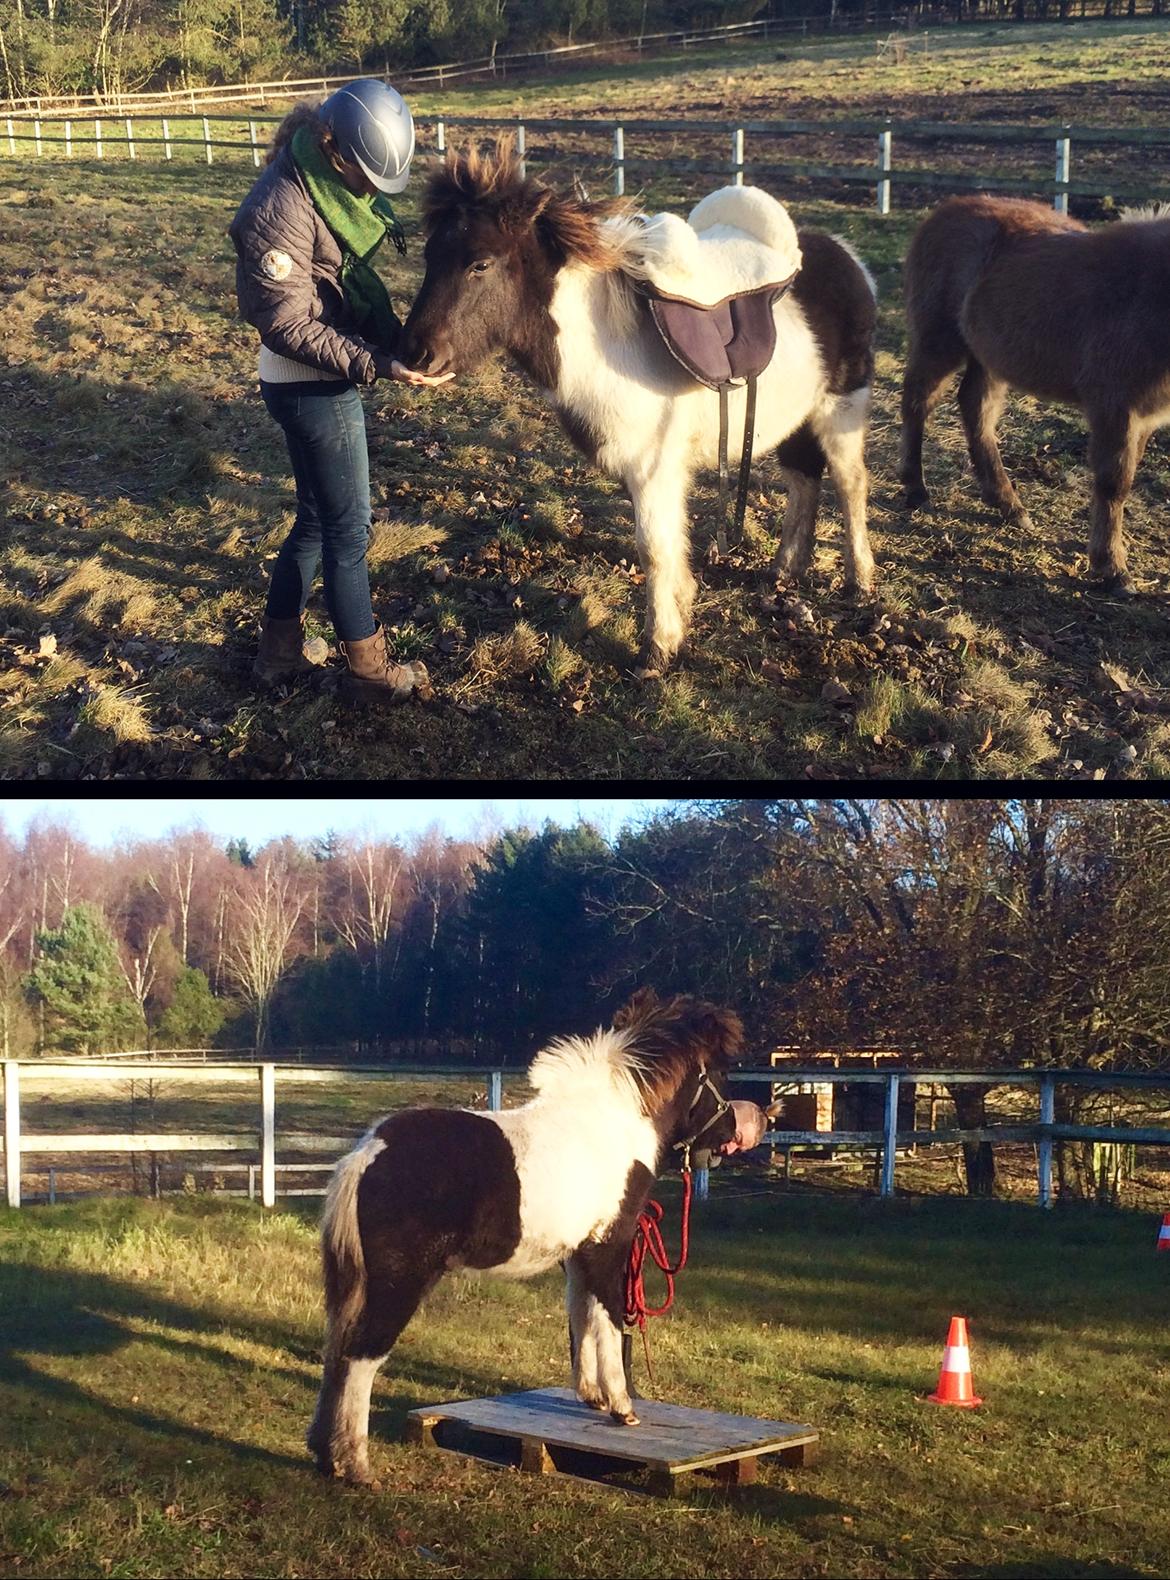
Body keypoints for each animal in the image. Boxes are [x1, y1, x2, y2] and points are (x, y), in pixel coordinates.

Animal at [306, 992, 757, 1485]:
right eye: (718, 1076)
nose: (734, 1133)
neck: (612, 1126)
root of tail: (367, 1153)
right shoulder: (611, 1245)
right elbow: (610, 1321)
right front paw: (621, 1407)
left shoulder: (578, 1255)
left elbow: (581, 1316)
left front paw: (591, 1396)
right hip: (397, 1282)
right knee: (360, 1357)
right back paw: (357, 1466)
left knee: (336, 1353)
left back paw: (327, 1457)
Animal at [401, 139, 877, 676]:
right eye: (429, 255)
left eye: (480, 263)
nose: (415, 354)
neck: (601, 337)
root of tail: (848, 258)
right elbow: (668, 545)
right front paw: (680, 612)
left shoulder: (653, 467)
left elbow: (654, 549)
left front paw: (658, 648)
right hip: (795, 418)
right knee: (803, 480)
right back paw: (784, 571)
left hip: (841, 409)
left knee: (850, 484)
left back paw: (860, 580)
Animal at [896, 195, 1168, 594]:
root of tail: (945, 209)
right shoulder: (1114, 406)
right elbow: (1114, 482)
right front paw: (1111, 567)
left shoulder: (1147, 414)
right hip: (939, 340)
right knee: (917, 402)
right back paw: (916, 489)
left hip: (988, 355)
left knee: (976, 408)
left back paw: (1008, 504)